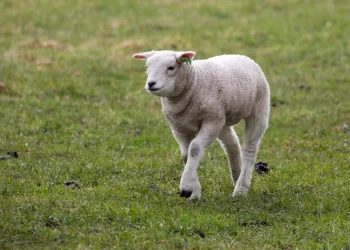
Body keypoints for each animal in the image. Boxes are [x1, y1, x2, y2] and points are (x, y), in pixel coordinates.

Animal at [133, 50, 270, 199]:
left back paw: (240, 189)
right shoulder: (179, 129)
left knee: (249, 149)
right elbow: (186, 155)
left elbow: (194, 149)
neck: (194, 81)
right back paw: (236, 176)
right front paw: (194, 192)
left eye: (171, 67)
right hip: (222, 120)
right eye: (147, 67)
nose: (151, 83)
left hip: (257, 110)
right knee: (232, 145)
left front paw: (186, 186)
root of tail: (241, 56)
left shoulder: (210, 122)